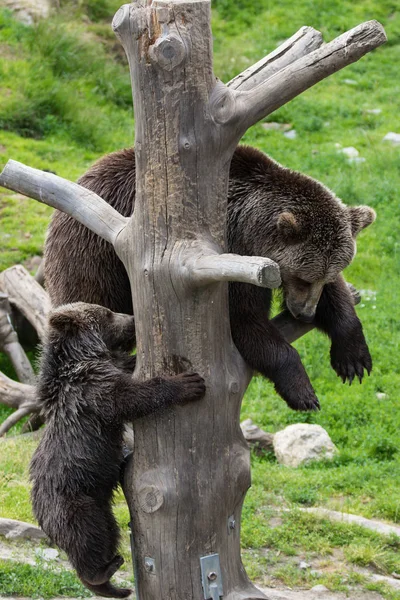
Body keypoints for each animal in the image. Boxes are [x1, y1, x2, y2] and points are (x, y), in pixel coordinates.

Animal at [30, 302, 206, 596]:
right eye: (107, 313)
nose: (132, 318)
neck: (83, 356)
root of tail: (39, 512)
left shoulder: (107, 369)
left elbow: (127, 368)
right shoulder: (93, 388)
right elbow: (130, 397)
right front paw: (187, 383)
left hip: (100, 504)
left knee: (107, 532)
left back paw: (113, 581)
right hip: (74, 501)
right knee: (86, 536)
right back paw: (101, 573)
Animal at [45, 144, 376, 412]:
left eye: (322, 277)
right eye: (303, 278)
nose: (305, 313)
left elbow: (339, 301)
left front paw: (354, 358)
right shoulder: (233, 258)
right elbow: (245, 320)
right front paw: (302, 391)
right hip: (93, 258)